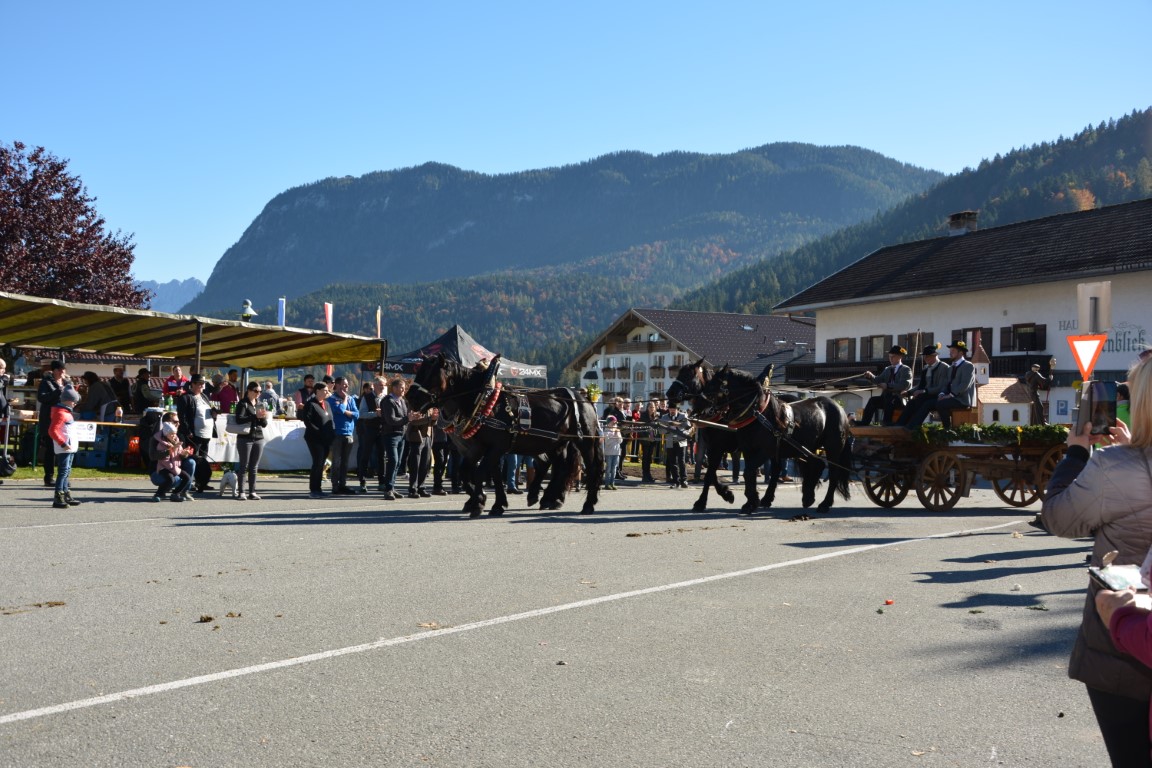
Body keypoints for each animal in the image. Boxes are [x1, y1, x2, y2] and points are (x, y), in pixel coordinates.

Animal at [405, 353, 603, 516]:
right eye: (419, 370)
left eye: (431, 374)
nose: (410, 398)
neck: (482, 400)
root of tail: (584, 398)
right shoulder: (481, 449)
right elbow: (474, 473)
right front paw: (491, 502)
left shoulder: (494, 447)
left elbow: (480, 473)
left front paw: (479, 503)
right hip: (556, 443)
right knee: (558, 466)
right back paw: (546, 498)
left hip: (584, 442)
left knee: (590, 468)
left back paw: (587, 504)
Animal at [682, 362, 852, 517]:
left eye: (715, 384)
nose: (698, 406)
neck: (757, 414)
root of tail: (839, 407)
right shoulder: (743, 450)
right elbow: (740, 474)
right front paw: (748, 500)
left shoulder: (759, 451)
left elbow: (744, 472)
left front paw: (744, 500)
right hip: (804, 447)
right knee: (815, 465)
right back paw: (804, 497)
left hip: (831, 448)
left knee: (833, 473)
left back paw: (824, 503)